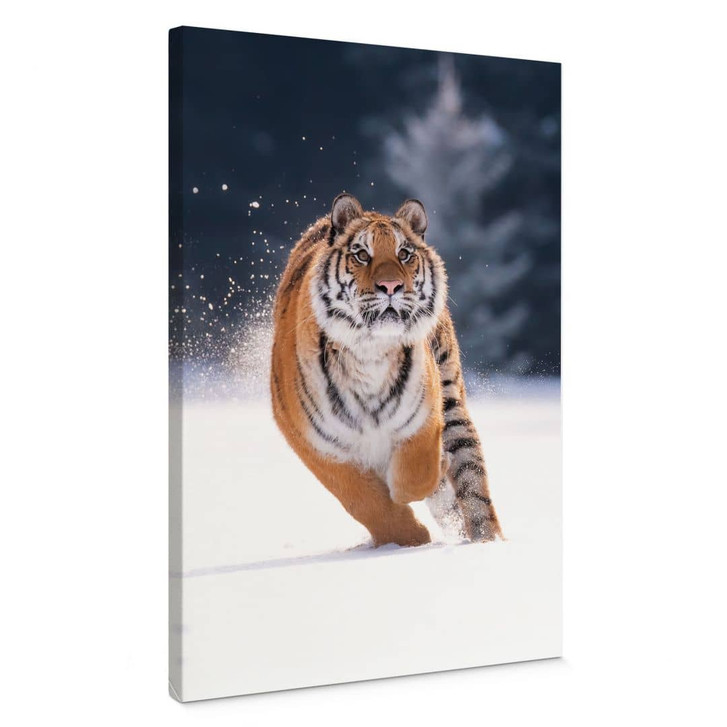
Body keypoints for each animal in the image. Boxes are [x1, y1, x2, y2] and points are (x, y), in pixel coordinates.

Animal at [270, 193, 503, 547]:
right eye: (362, 255)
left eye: (404, 253)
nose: (391, 286)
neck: (371, 351)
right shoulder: (312, 440)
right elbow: (363, 500)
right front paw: (410, 537)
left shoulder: (423, 414)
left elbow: (416, 475)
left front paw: (435, 468)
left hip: (452, 398)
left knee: (474, 486)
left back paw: (487, 542)